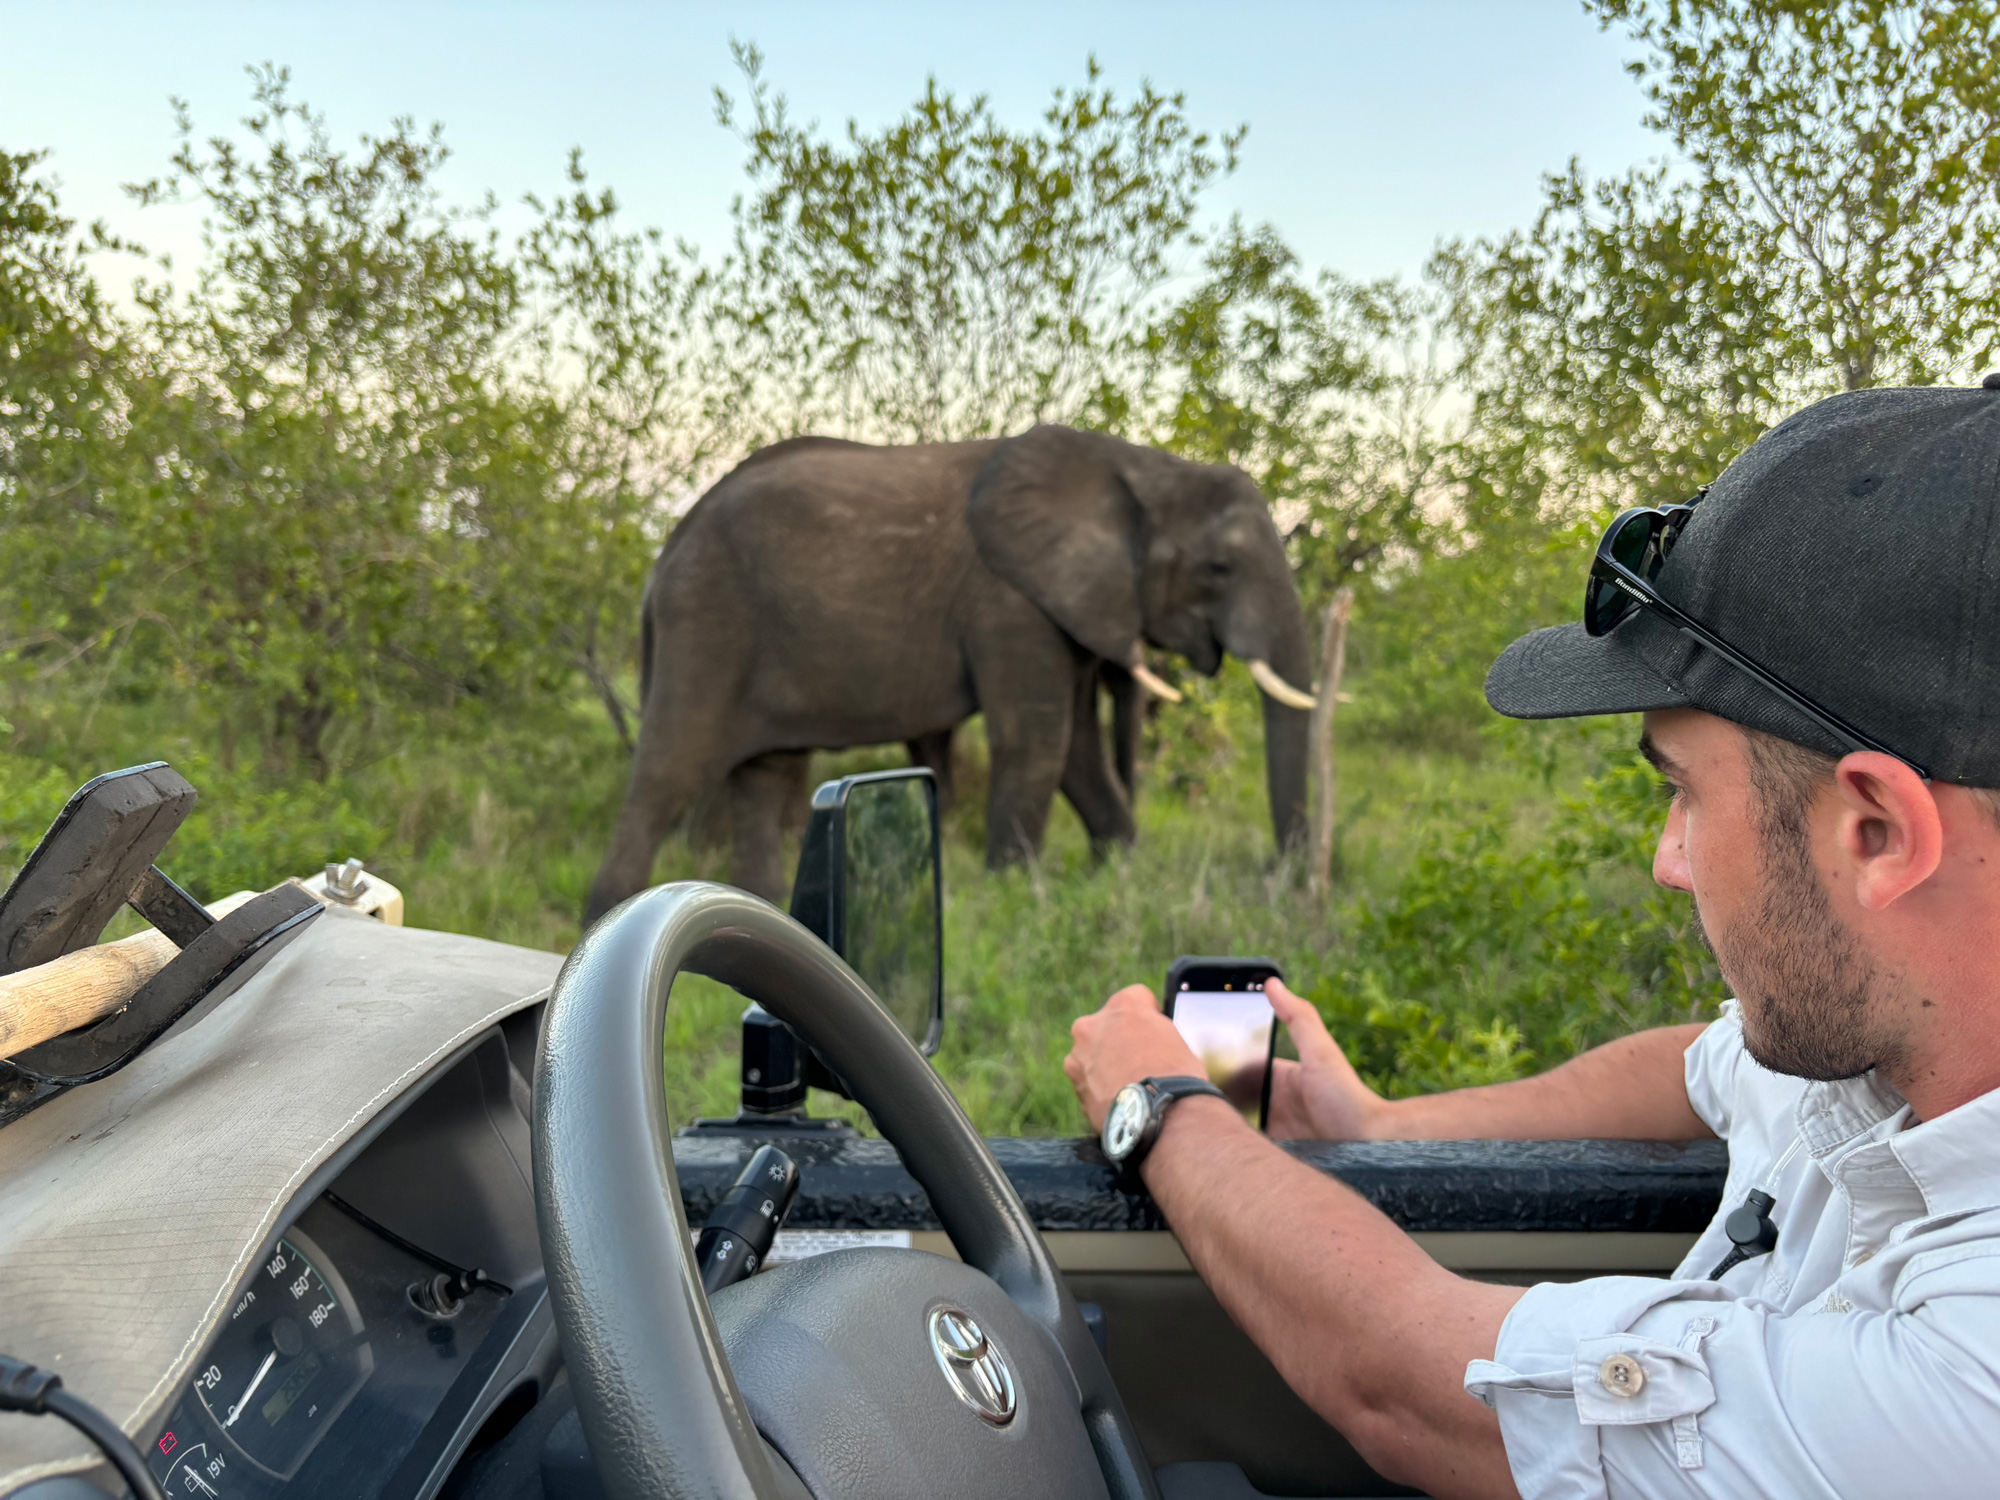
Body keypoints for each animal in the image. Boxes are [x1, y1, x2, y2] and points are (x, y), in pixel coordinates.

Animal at [584, 424, 1320, 928]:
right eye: (1219, 569)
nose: (1281, 878)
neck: (1144, 467)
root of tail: (667, 548)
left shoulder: (1064, 603)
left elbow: (1076, 752)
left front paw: (1114, 873)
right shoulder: (1010, 602)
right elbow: (1040, 743)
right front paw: (1015, 895)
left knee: (765, 776)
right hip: (707, 620)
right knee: (669, 772)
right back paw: (608, 919)